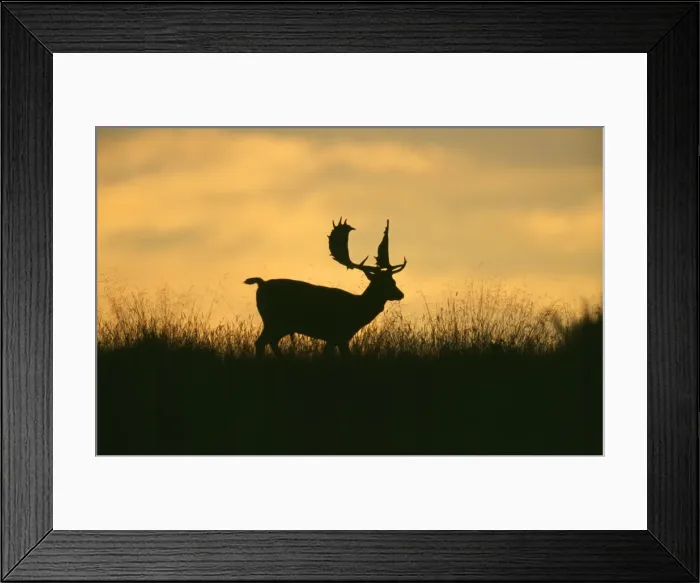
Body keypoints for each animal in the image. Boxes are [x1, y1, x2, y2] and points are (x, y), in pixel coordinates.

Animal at [244, 218, 407, 357]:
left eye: (393, 280)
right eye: (382, 283)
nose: (400, 294)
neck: (357, 310)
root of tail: (261, 283)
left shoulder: (336, 338)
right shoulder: (338, 333)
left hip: (279, 324)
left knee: (270, 342)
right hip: (274, 319)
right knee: (261, 342)